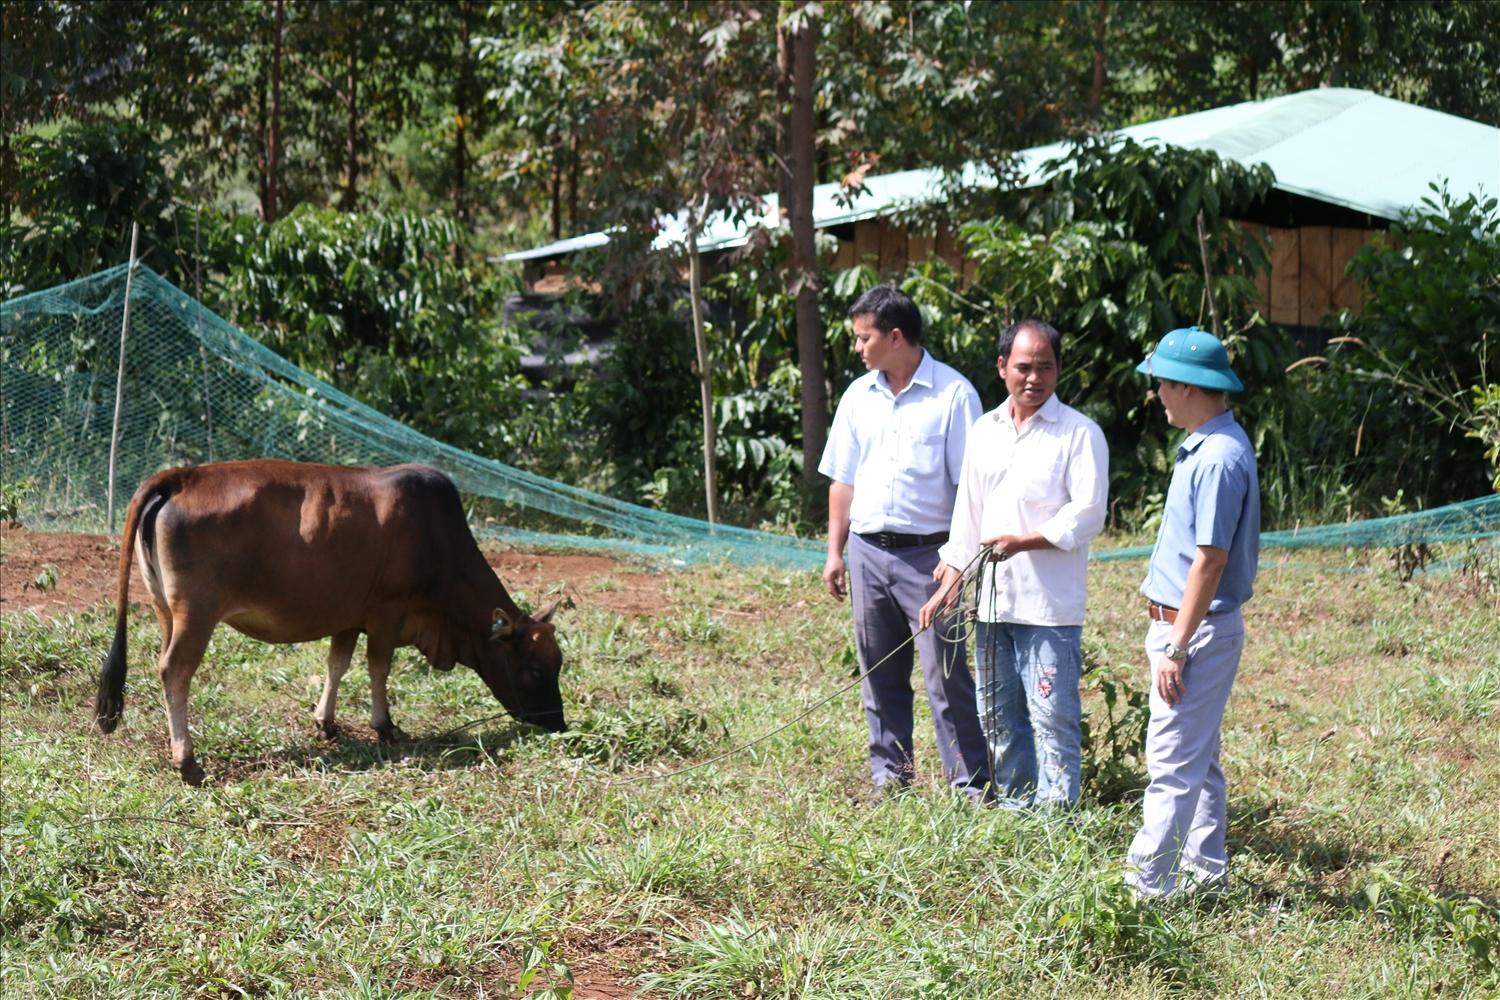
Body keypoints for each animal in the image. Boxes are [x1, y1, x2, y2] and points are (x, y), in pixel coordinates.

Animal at [96, 458, 567, 779]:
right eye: (535, 670)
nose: (558, 723)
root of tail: (182, 475)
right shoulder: (387, 611)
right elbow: (378, 668)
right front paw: (386, 727)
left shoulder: (349, 617)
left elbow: (336, 665)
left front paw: (325, 722)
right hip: (197, 616)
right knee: (175, 671)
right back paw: (187, 759)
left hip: (166, 611)